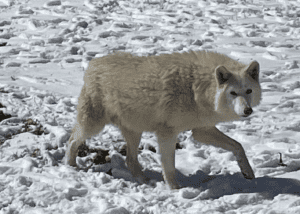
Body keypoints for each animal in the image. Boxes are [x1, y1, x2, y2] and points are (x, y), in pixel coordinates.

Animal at [65, 50, 260, 189]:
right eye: (233, 93)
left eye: (248, 91)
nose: (247, 110)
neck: (197, 88)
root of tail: (93, 64)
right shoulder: (167, 133)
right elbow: (169, 166)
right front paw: (174, 189)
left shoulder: (202, 131)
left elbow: (238, 146)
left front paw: (248, 172)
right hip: (94, 125)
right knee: (72, 140)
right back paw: (70, 166)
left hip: (134, 131)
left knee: (130, 160)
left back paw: (145, 181)